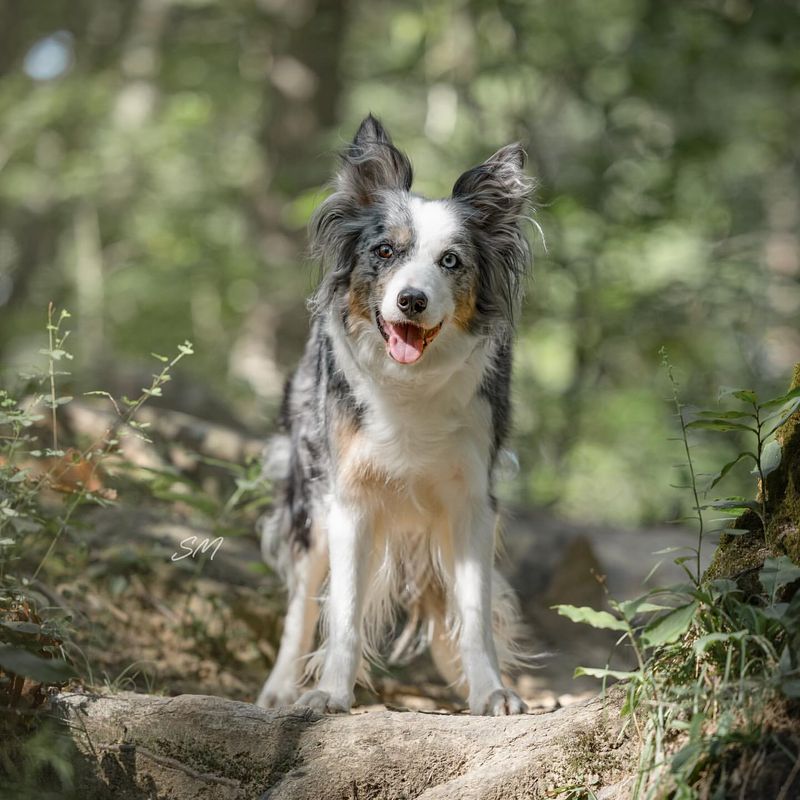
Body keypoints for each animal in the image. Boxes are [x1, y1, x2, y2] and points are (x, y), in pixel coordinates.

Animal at [260, 115, 536, 716]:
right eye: (385, 251)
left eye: (450, 261)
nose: (412, 300)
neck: (411, 385)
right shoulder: (349, 500)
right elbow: (341, 612)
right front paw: (328, 694)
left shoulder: (472, 500)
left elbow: (474, 612)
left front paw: (491, 691)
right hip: (309, 496)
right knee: (301, 603)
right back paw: (280, 688)